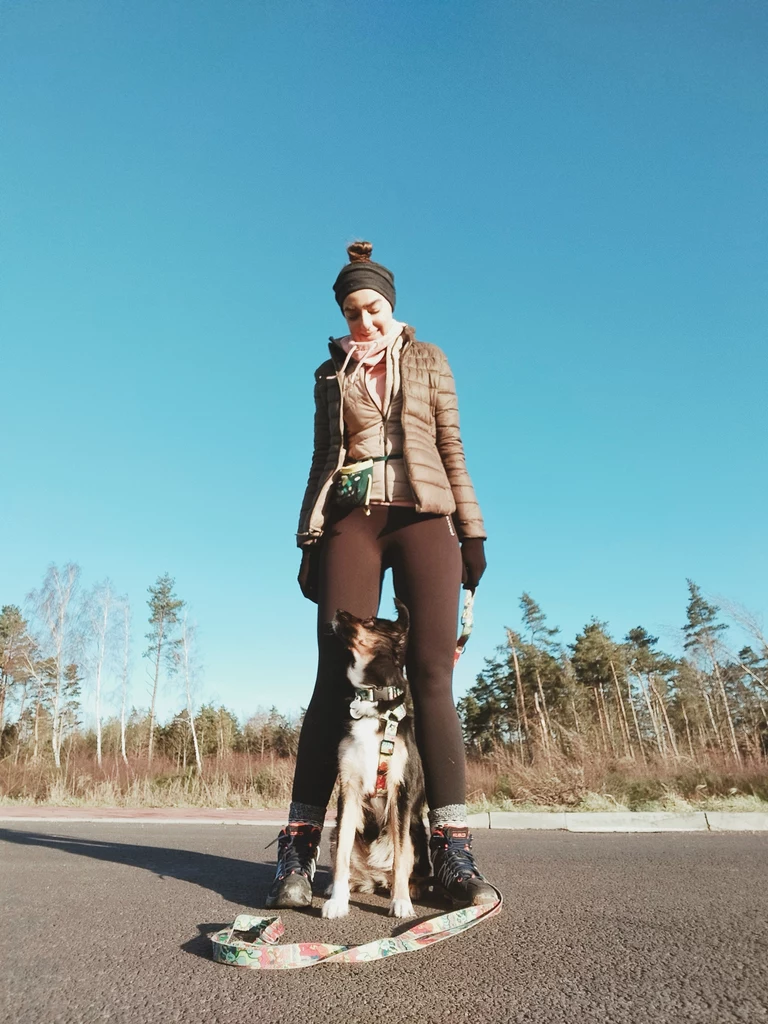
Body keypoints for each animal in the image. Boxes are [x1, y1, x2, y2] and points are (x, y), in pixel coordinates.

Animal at [321, 598, 434, 921]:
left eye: (371, 621)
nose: (338, 611)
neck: (373, 700)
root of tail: (375, 877)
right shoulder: (348, 789)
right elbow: (343, 853)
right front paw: (338, 901)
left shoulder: (400, 791)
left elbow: (400, 857)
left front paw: (401, 902)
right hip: (333, 832)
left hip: (418, 832)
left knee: (406, 863)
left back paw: (411, 889)